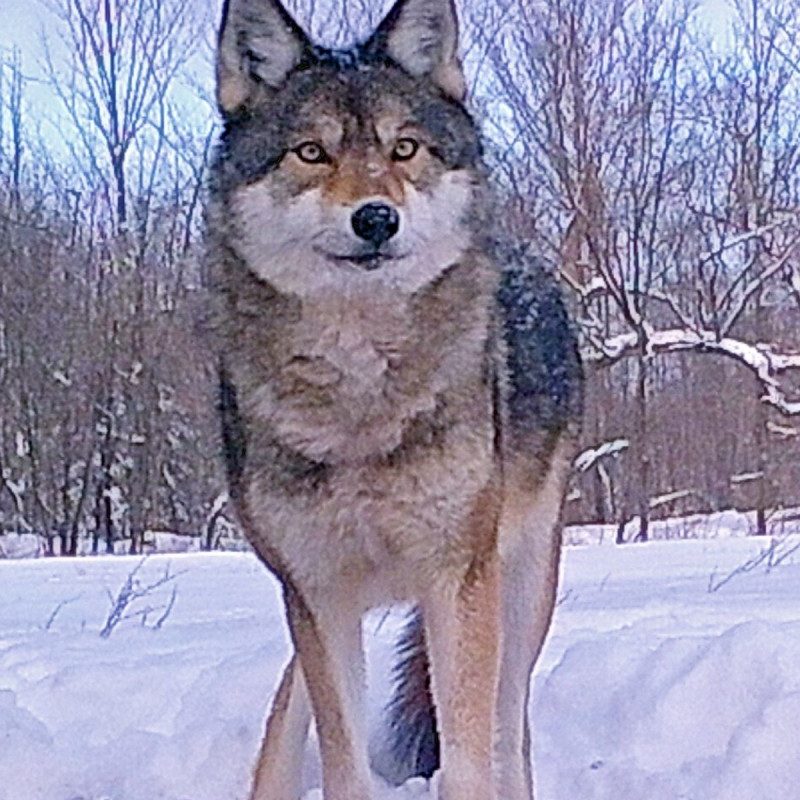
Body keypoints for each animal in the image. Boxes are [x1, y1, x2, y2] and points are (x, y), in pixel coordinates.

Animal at [205, 0, 583, 798]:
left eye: (404, 148)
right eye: (311, 153)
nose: (376, 218)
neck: (361, 393)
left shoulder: (457, 580)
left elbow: (469, 760)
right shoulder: (315, 594)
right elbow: (342, 759)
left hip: (521, 584)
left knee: (510, 730)